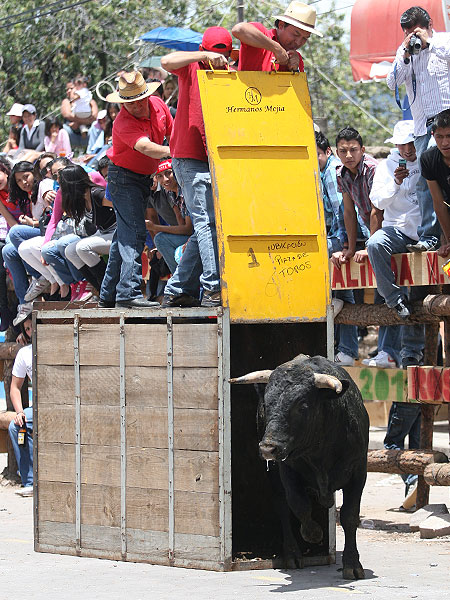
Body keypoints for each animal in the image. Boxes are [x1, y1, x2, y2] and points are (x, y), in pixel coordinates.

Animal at [232, 354, 370, 580]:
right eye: (267, 404)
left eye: (302, 405)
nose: (268, 448)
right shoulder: (287, 470)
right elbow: (298, 504)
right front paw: (313, 533)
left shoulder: (358, 473)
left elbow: (350, 516)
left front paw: (352, 563)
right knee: (282, 506)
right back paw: (292, 554)